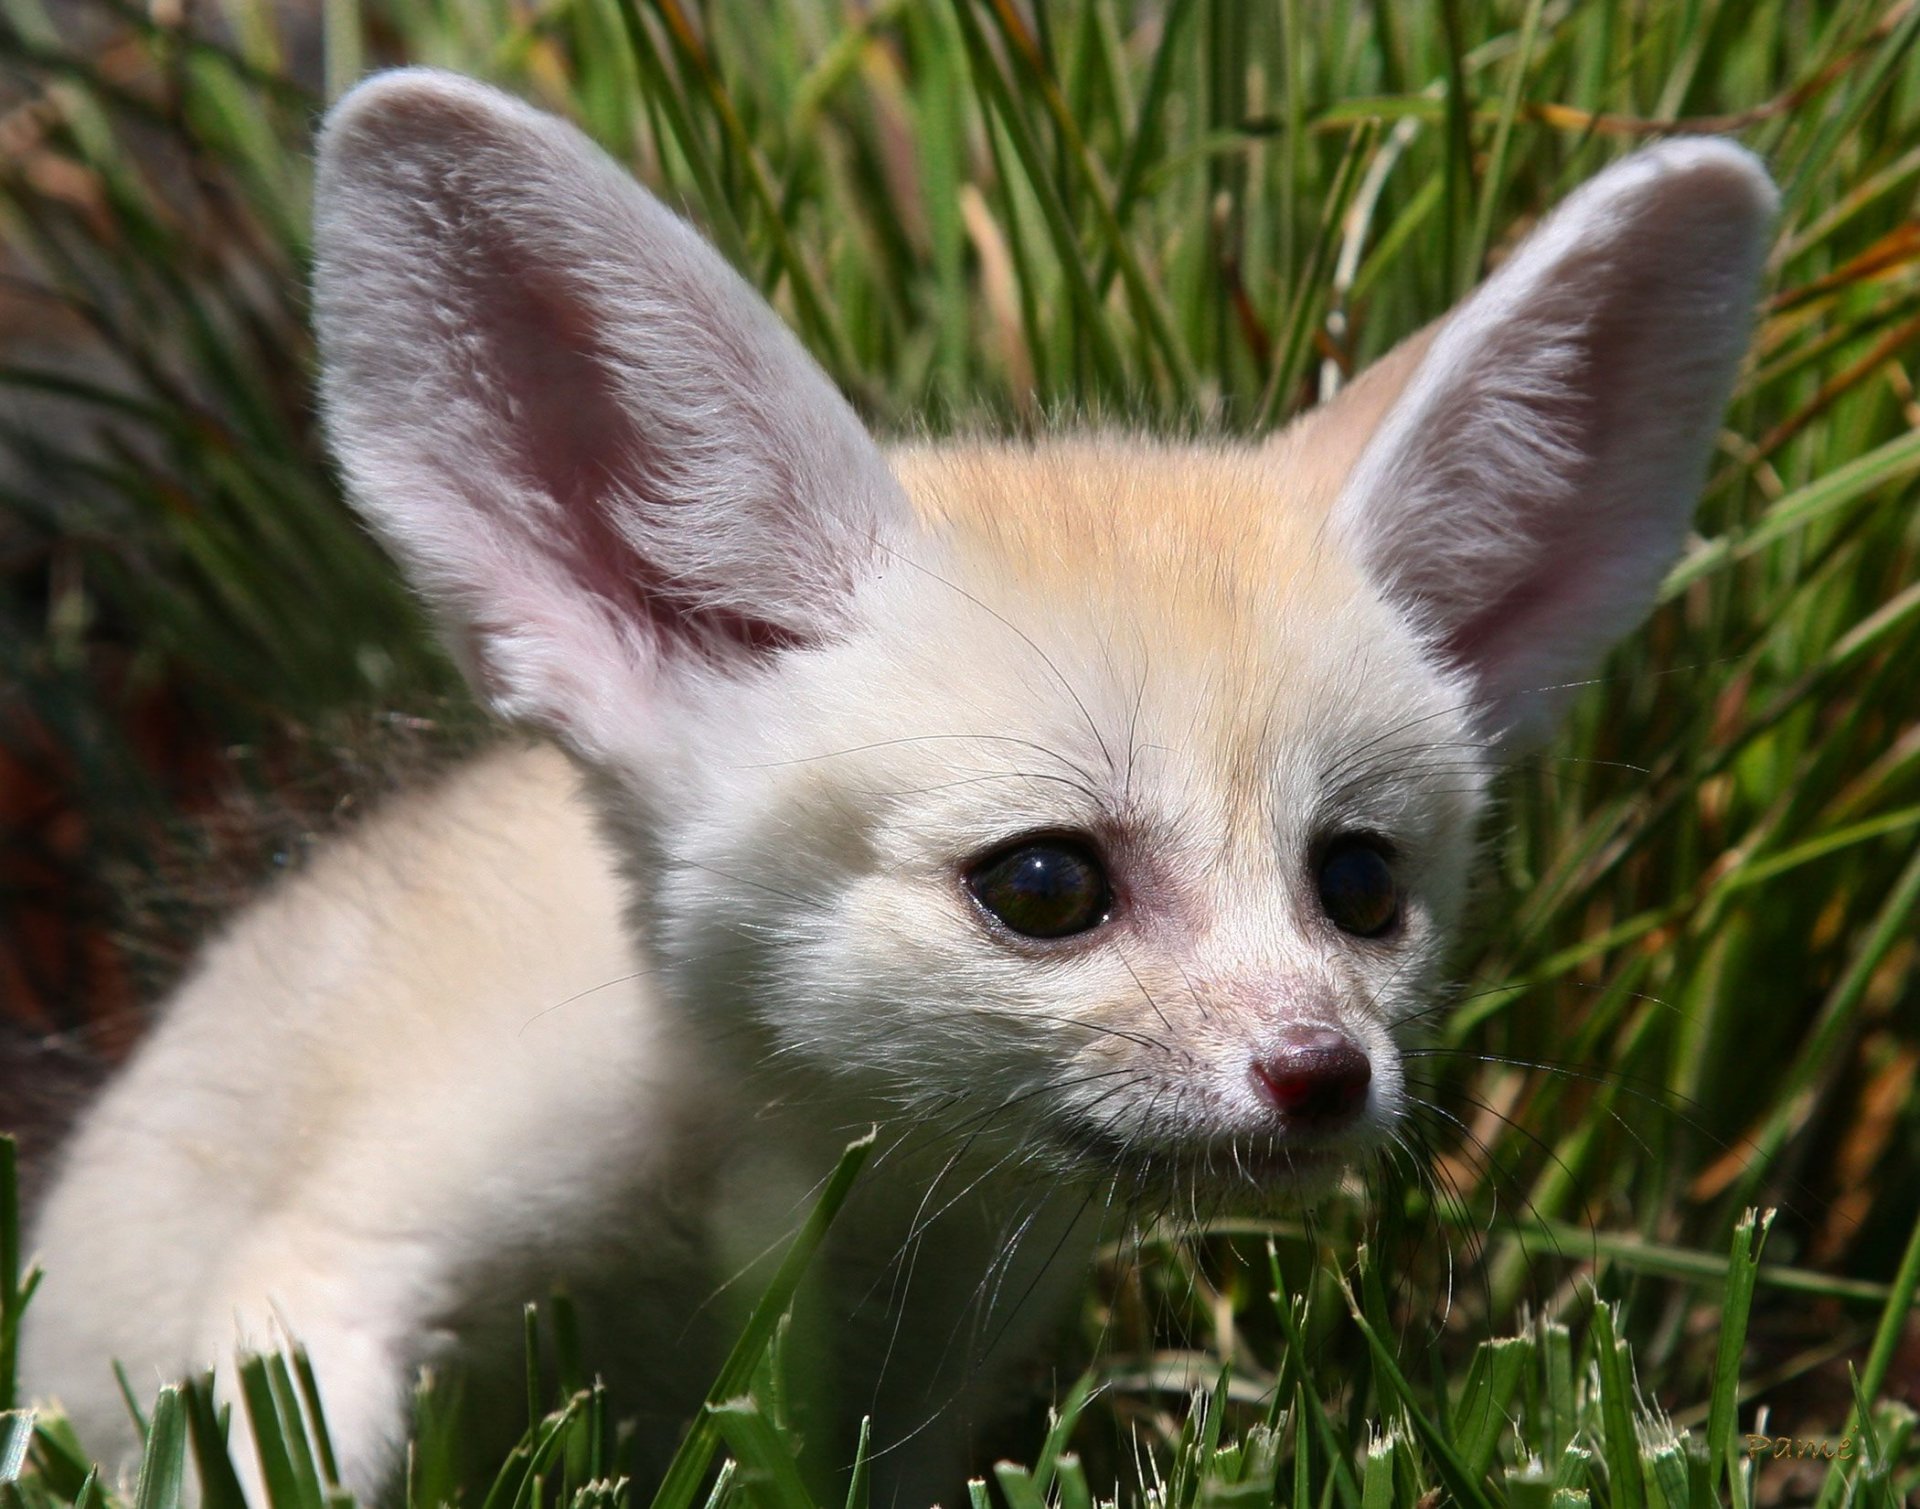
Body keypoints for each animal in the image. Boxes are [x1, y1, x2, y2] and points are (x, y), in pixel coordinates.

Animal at [22, 67, 1774, 1505]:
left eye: (1361, 883)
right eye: (1047, 886)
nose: (1323, 1075)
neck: (763, 1187)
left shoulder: (898, 1404)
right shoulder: (331, 1262)